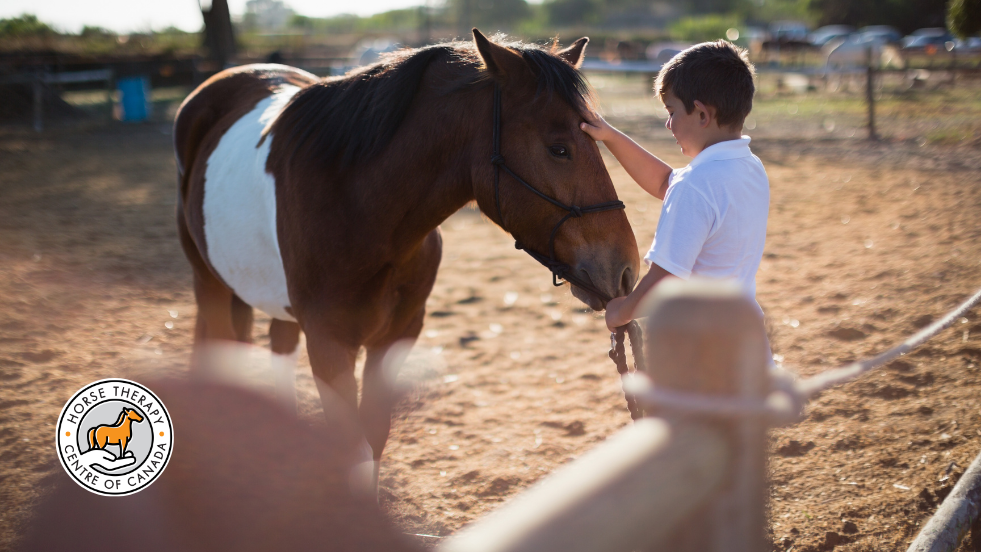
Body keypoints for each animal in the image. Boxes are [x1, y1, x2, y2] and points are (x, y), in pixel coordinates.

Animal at [172, 29, 640, 488]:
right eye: (559, 149)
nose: (626, 269)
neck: (355, 205)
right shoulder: (327, 344)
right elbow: (353, 449)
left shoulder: (396, 335)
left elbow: (374, 438)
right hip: (208, 282)